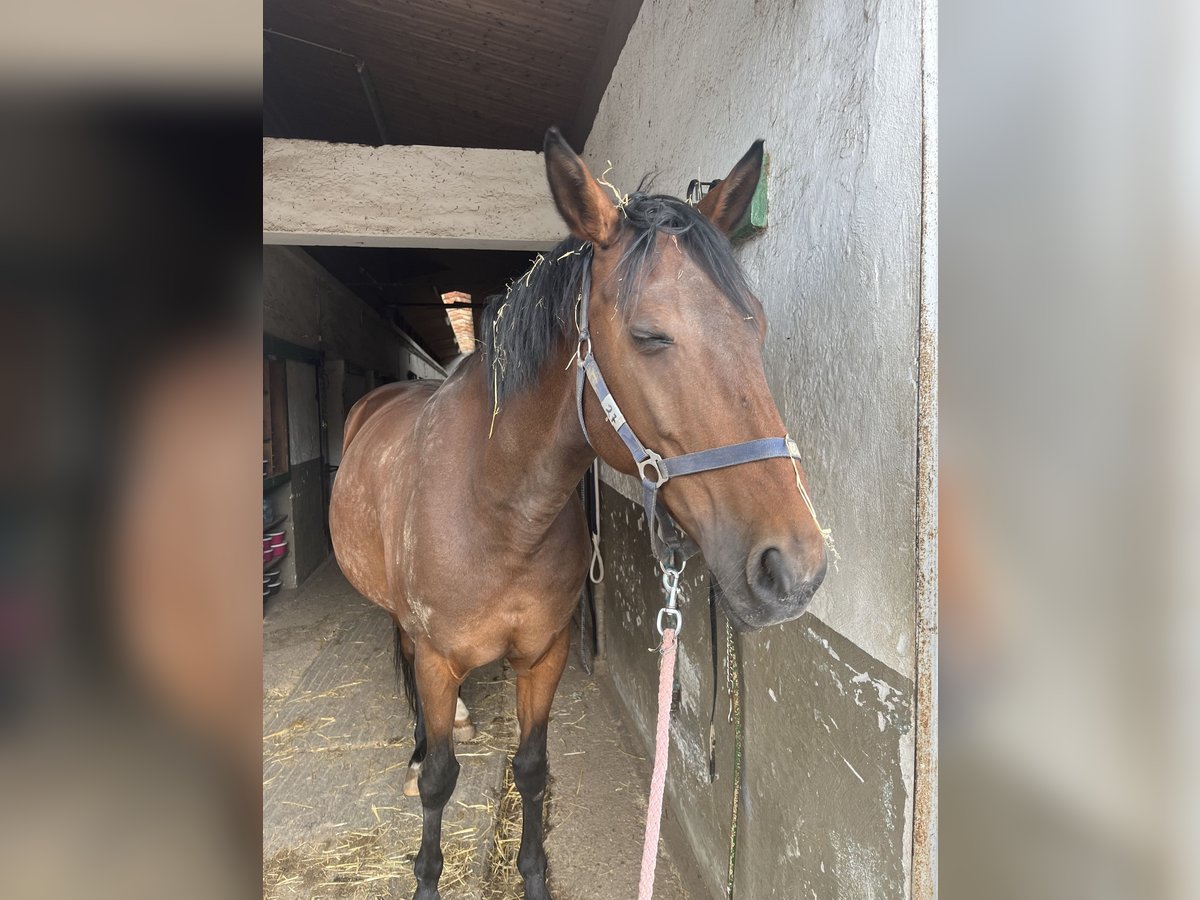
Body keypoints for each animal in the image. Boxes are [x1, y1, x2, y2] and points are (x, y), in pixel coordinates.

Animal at [328, 128, 825, 900]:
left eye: (758, 328)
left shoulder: (546, 654)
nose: (793, 568)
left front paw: (534, 876)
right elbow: (441, 779)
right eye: (650, 336)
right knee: (405, 666)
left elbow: (532, 769)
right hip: (401, 622)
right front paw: (426, 875)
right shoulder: (441, 660)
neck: (495, 509)